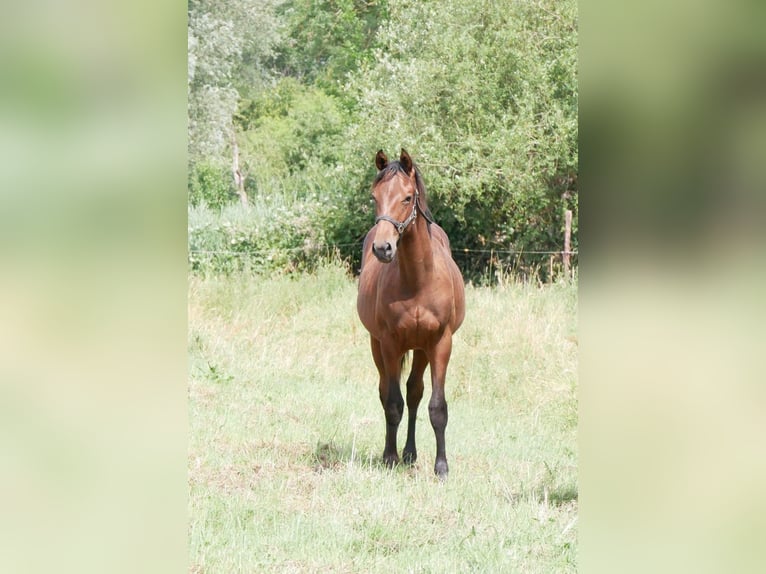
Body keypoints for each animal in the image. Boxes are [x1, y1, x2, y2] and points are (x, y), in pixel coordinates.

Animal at [357, 148, 465, 478]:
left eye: (407, 198)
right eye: (375, 196)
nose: (383, 248)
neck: (418, 279)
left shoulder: (441, 343)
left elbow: (437, 406)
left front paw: (441, 467)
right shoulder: (390, 343)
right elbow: (393, 402)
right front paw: (390, 458)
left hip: (421, 348)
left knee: (415, 392)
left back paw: (410, 453)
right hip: (378, 344)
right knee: (387, 392)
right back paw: (396, 453)